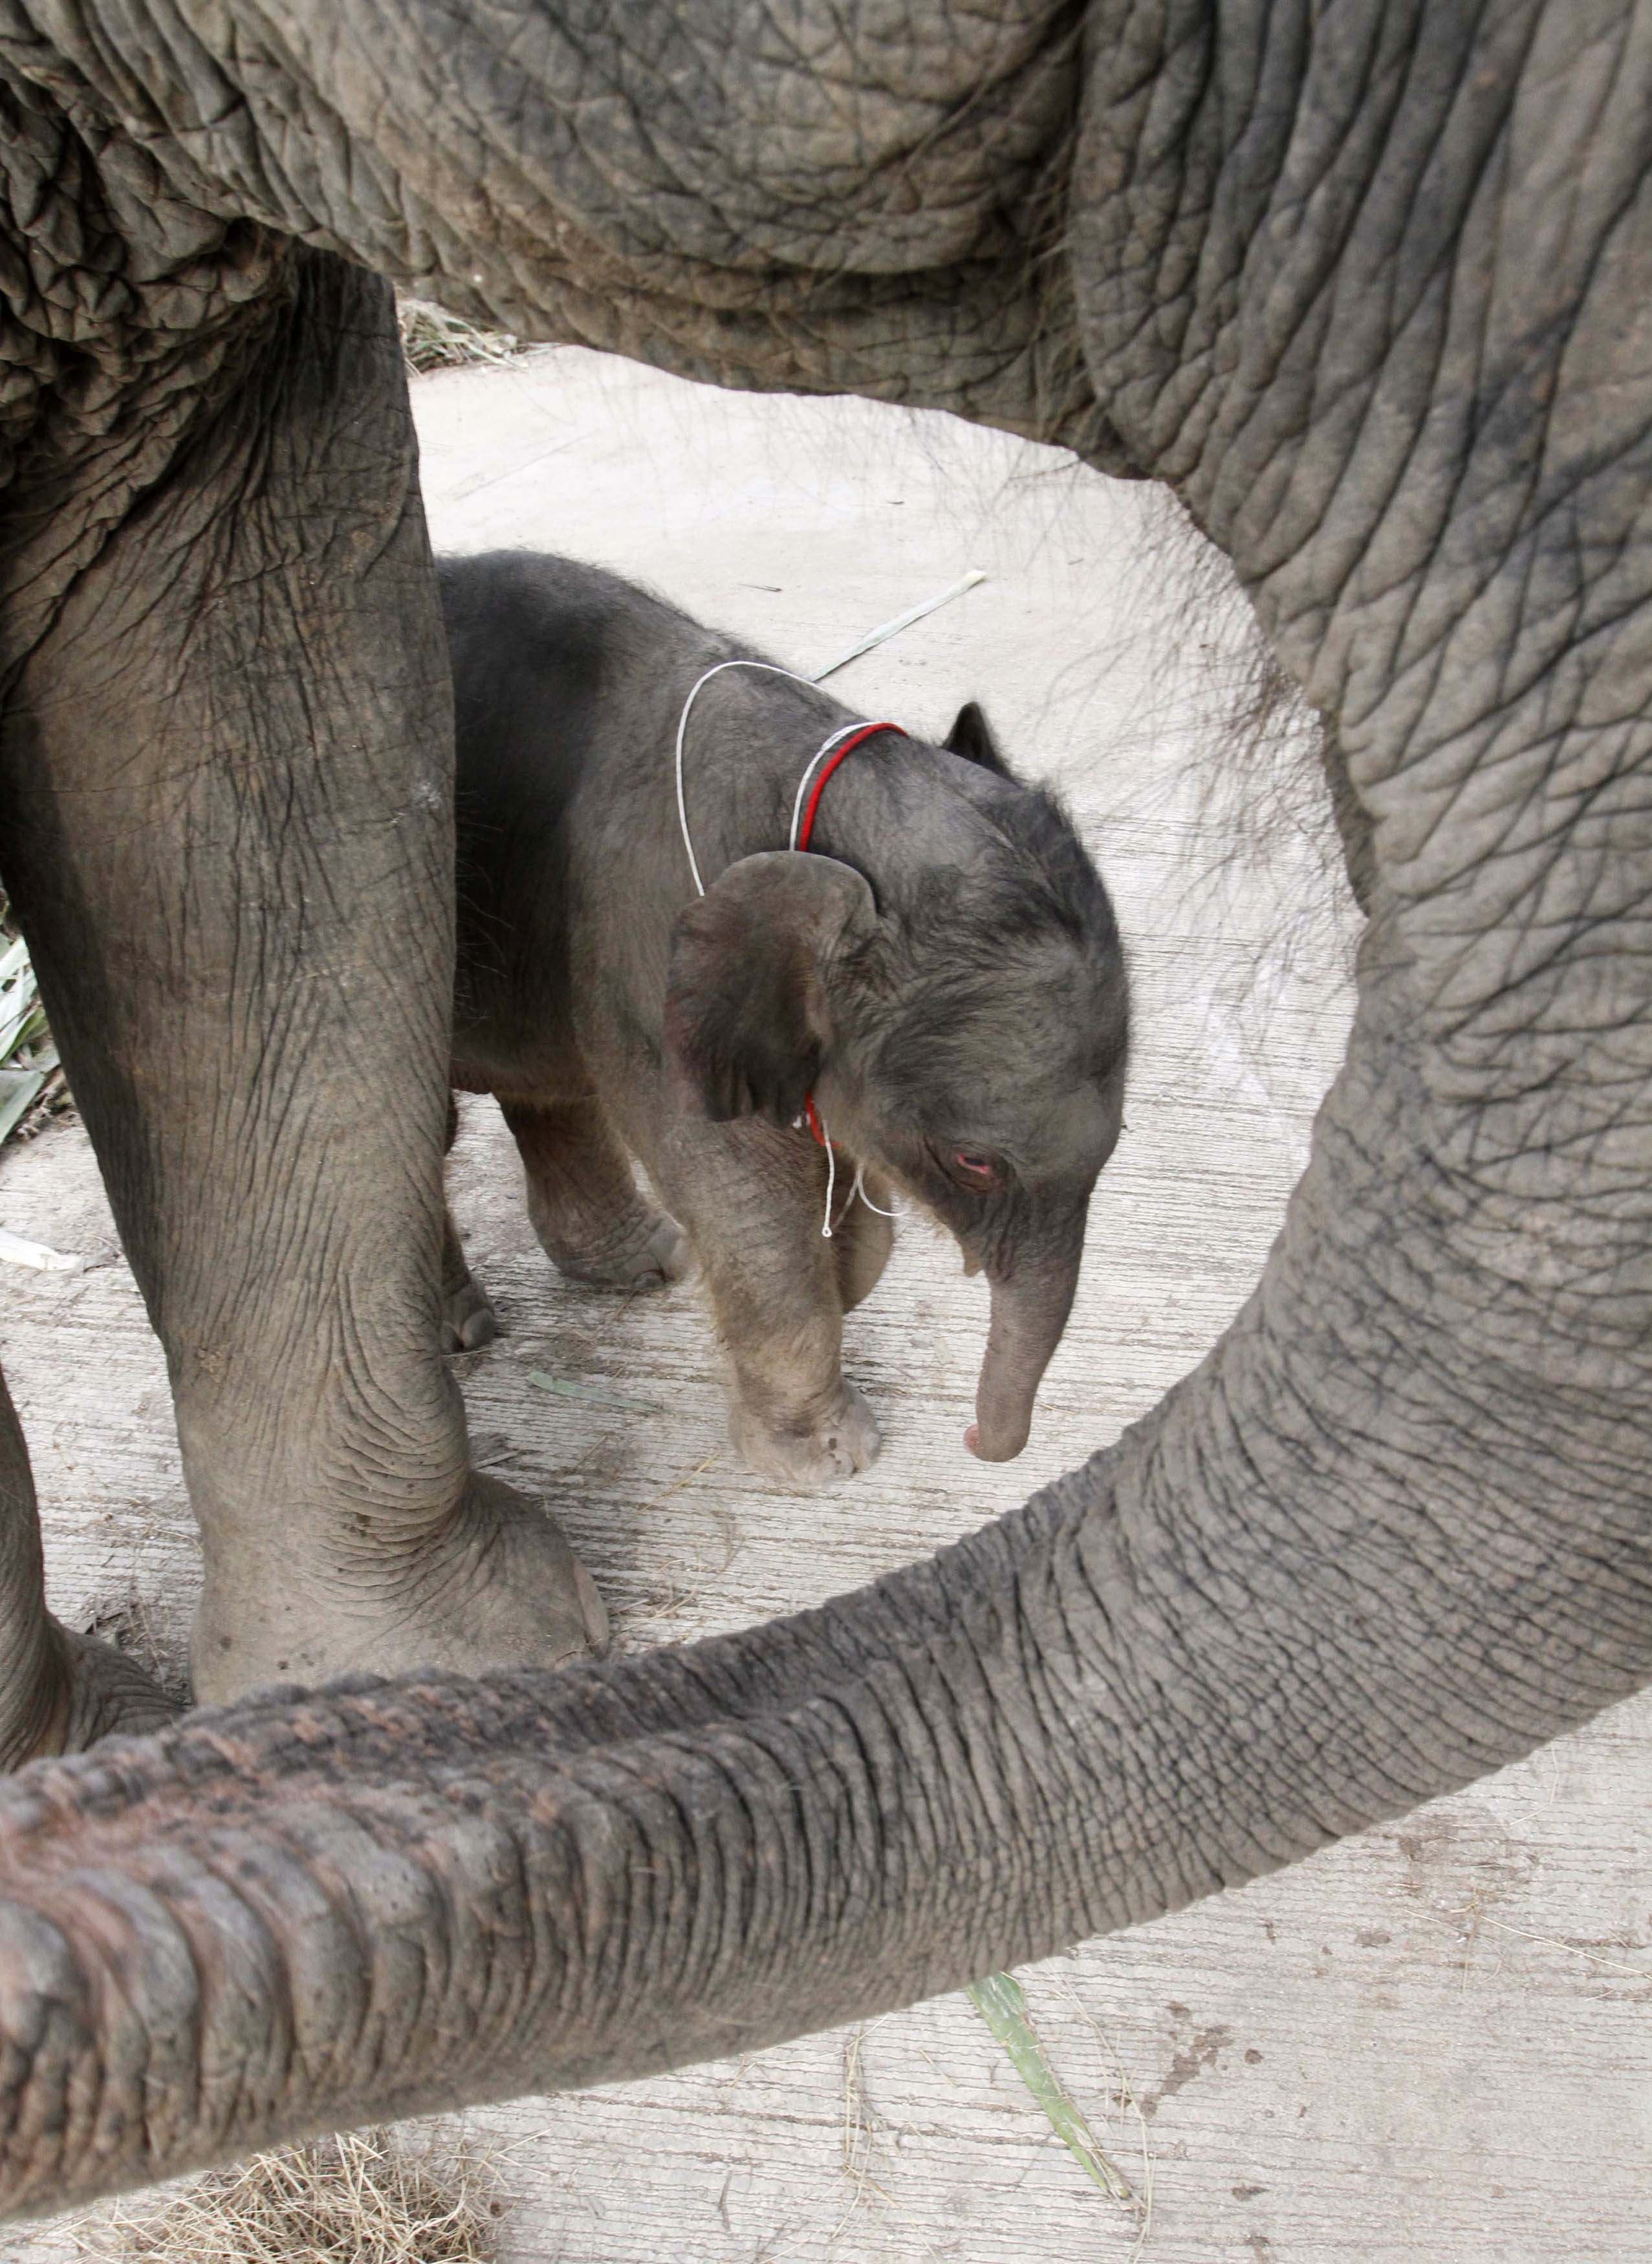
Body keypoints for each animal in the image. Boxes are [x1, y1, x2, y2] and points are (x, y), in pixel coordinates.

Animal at [437, 552, 1127, 1485]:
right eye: (973, 1163)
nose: (975, 1442)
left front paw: (847, 1266)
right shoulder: (651, 948)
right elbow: (747, 1193)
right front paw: (832, 1462)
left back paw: (648, 1265)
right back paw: (467, 1329)